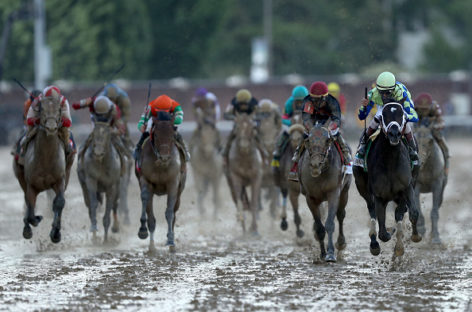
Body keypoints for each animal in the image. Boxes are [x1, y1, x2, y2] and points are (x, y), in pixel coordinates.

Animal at [12, 96, 74, 243]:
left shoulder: (60, 179)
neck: (46, 159)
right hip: (20, 175)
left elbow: (59, 202)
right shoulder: (31, 184)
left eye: (59, 109)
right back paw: (28, 227)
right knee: (27, 202)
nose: (51, 127)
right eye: (42, 109)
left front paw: (55, 233)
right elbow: (30, 208)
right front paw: (34, 222)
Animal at [135, 111, 186, 252]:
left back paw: (172, 243)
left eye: (172, 134)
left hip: (180, 191)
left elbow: (169, 213)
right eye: (156, 134)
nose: (164, 157)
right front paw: (144, 233)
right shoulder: (145, 180)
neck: (160, 165)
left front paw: (170, 240)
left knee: (174, 213)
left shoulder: (173, 183)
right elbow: (145, 199)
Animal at [298, 123, 350, 262]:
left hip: (345, 191)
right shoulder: (310, 198)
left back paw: (341, 243)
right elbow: (319, 227)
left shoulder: (333, 192)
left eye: (327, 140)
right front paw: (322, 253)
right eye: (308, 140)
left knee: (341, 215)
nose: (315, 165)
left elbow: (330, 224)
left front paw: (330, 253)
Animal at [352, 102, 422, 256]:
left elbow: (412, 213)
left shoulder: (406, 187)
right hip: (362, 187)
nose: (394, 134)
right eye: (383, 116)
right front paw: (389, 233)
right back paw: (374, 244)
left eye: (402, 115)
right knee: (371, 211)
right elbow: (383, 232)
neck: (391, 160)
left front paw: (414, 236)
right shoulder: (379, 195)